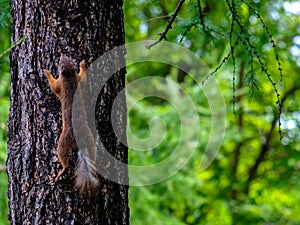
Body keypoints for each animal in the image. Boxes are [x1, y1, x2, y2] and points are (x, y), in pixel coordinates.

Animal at [43, 55, 99, 197]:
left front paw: (47, 73)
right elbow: (84, 80)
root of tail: (80, 141)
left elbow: (53, 86)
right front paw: (83, 65)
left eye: (61, 62)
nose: (62, 54)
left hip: (63, 141)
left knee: (64, 160)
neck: (69, 76)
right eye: (67, 59)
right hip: (90, 138)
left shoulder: (60, 84)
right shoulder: (78, 80)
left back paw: (61, 172)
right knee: (93, 154)